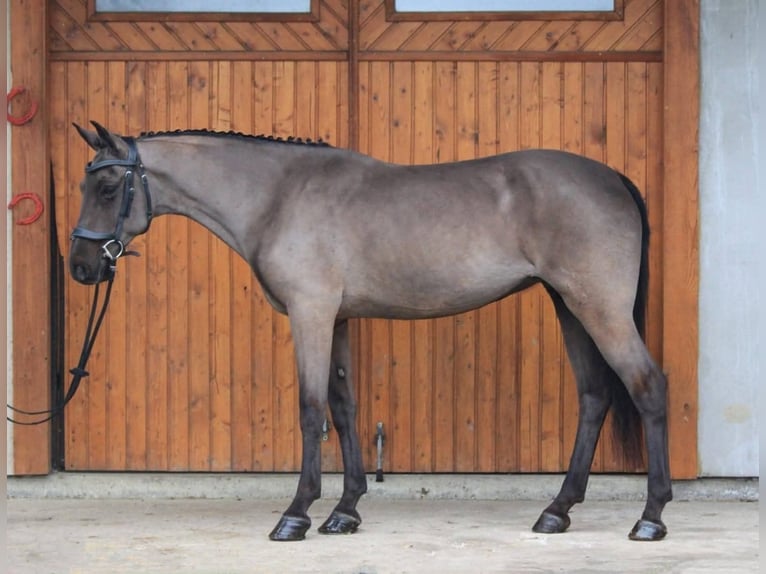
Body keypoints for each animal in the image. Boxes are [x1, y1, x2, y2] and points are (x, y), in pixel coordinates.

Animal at [69, 121, 672, 543]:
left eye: (107, 186)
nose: (81, 267)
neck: (280, 195)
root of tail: (613, 178)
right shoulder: (336, 319)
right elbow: (343, 406)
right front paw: (344, 511)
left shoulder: (311, 313)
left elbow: (311, 409)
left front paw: (297, 515)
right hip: (569, 306)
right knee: (594, 396)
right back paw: (556, 511)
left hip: (599, 308)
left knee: (647, 388)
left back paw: (650, 518)